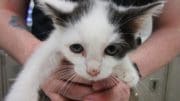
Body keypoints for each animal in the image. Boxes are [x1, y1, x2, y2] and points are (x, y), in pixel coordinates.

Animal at [4, 0, 164, 100]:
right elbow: (37, 64)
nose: (93, 71)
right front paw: (21, 96)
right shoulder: (54, 41)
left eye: (112, 49)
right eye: (76, 48)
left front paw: (128, 71)